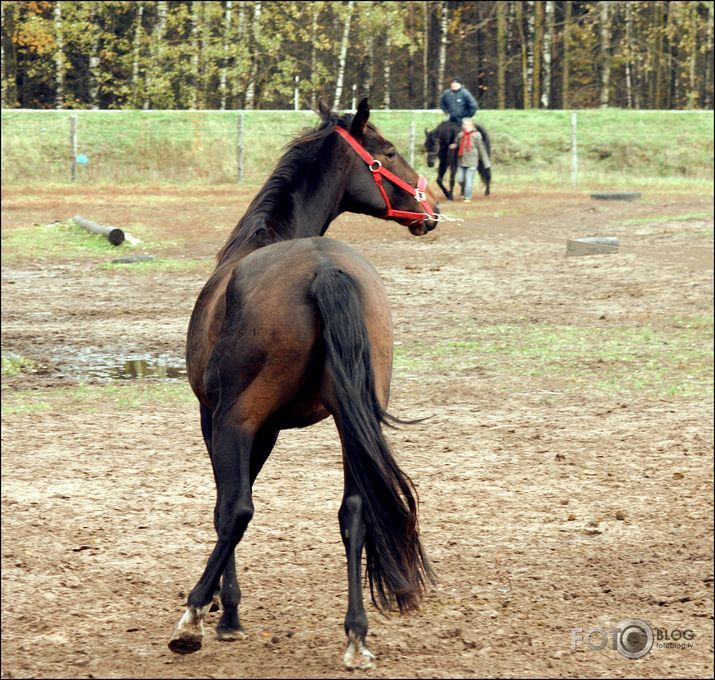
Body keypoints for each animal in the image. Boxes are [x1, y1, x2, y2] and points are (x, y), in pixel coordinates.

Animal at [169, 99, 436, 668]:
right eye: (389, 152)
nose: (431, 209)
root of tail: (325, 270)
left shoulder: (223, 420)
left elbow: (227, 506)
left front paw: (225, 613)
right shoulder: (269, 430)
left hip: (237, 419)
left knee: (237, 510)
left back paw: (191, 618)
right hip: (352, 423)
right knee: (355, 512)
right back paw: (356, 635)